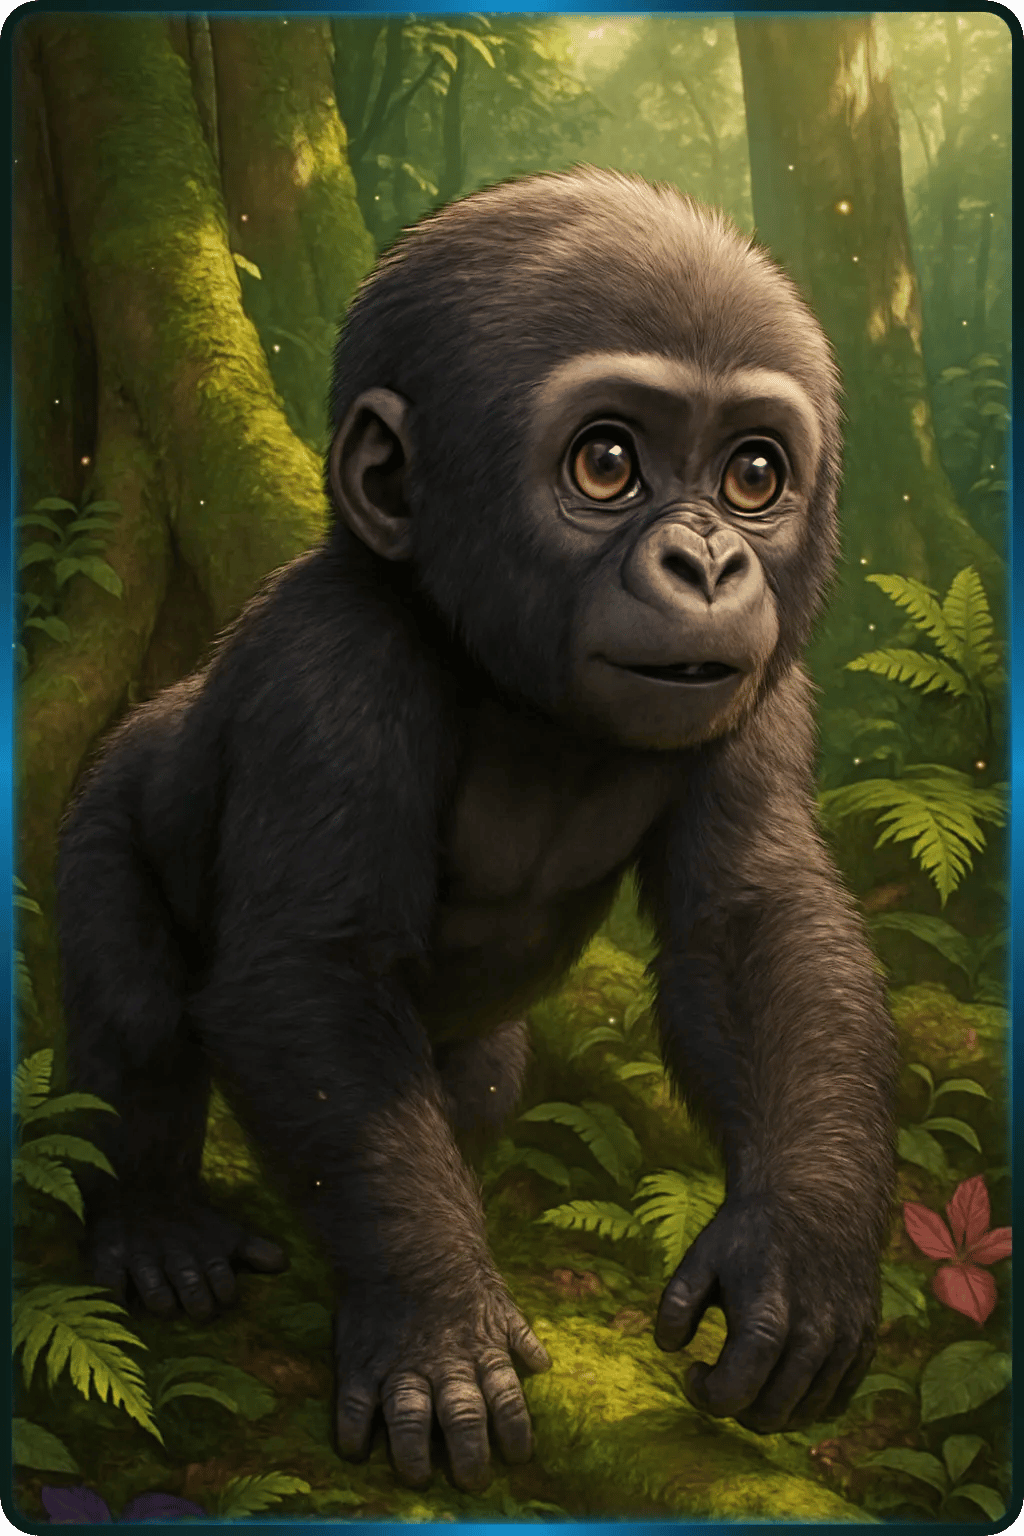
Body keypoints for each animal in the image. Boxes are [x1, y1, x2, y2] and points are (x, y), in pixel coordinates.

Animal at [57, 167, 897, 1493]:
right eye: (605, 463)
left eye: (754, 478)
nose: (709, 563)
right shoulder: (330, 672)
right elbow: (308, 975)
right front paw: (434, 1323)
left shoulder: (769, 695)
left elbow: (753, 930)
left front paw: (801, 1256)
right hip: (99, 817)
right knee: (136, 1011)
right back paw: (153, 1227)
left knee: (483, 1080)